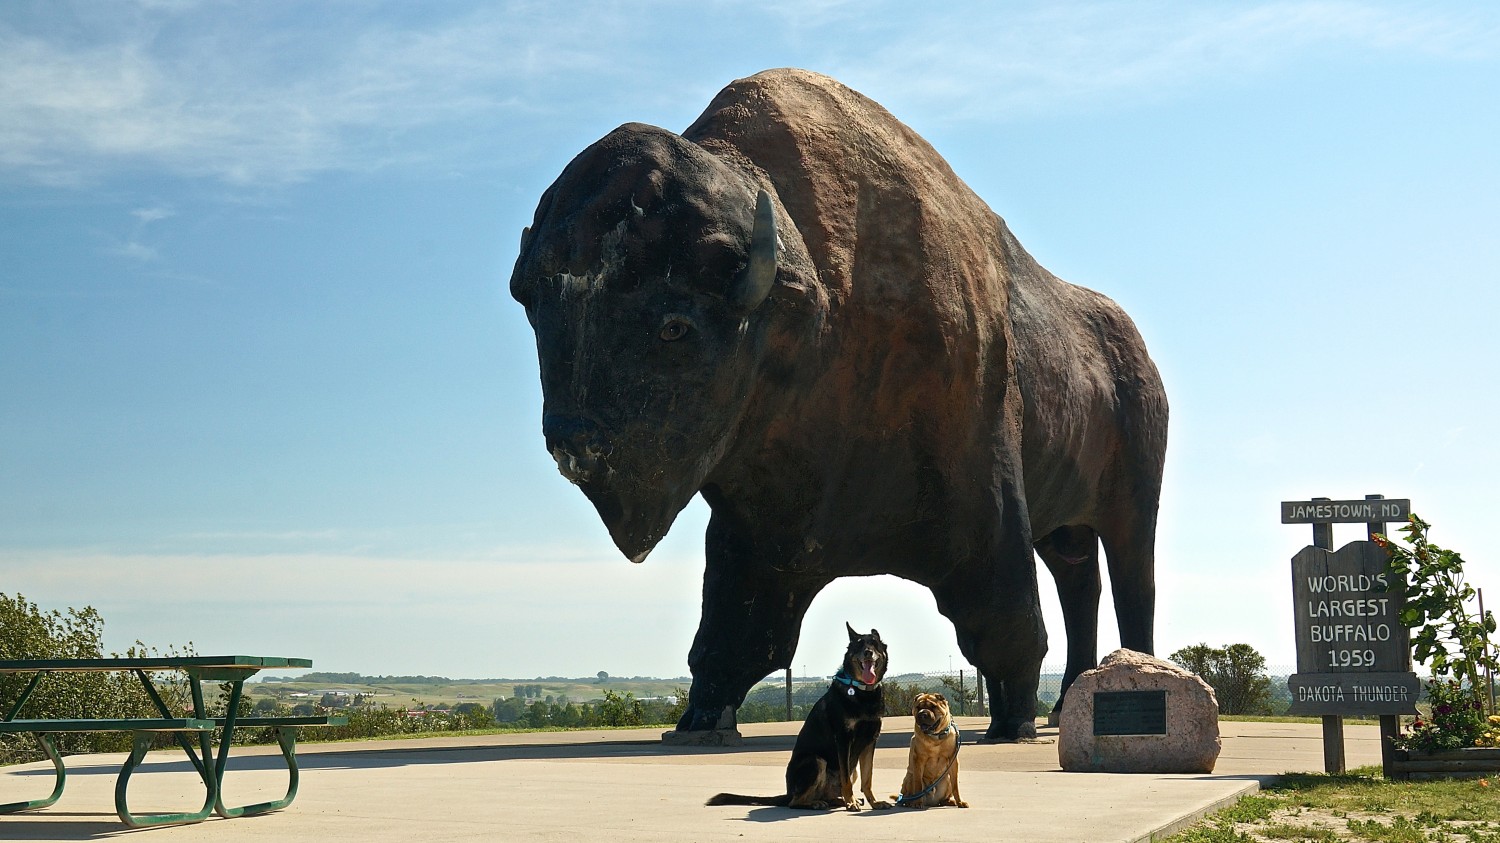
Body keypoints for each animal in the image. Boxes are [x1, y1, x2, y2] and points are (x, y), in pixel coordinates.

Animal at [705, 624, 888, 810]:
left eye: (874, 644)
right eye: (858, 644)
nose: (868, 653)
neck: (862, 691)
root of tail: (788, 793)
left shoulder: (870, 741)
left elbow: (868, 778)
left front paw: (874, 802)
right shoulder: (843, 740)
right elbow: (846, 781)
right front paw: (851, 802)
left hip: (850, 770)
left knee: (826, 795)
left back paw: (836, 800)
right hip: (816, 760)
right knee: (795, 802)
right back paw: (818, 803)